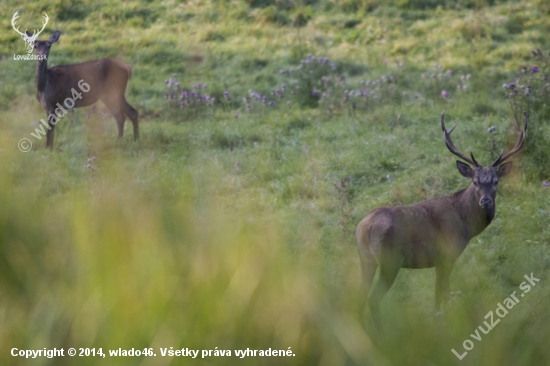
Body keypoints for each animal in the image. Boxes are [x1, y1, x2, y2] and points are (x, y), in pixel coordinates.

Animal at [358, 113, 532, 330]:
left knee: (358, 295)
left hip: (365, 260)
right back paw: (381, 332)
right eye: (475, 181)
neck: (465, 222)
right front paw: (440, 320)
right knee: (373, 298)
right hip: (389, 260)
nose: (485, 201)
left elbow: (441, 292)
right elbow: (441, 292)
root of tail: (364, 229)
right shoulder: (446, 254)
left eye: (496, 181)